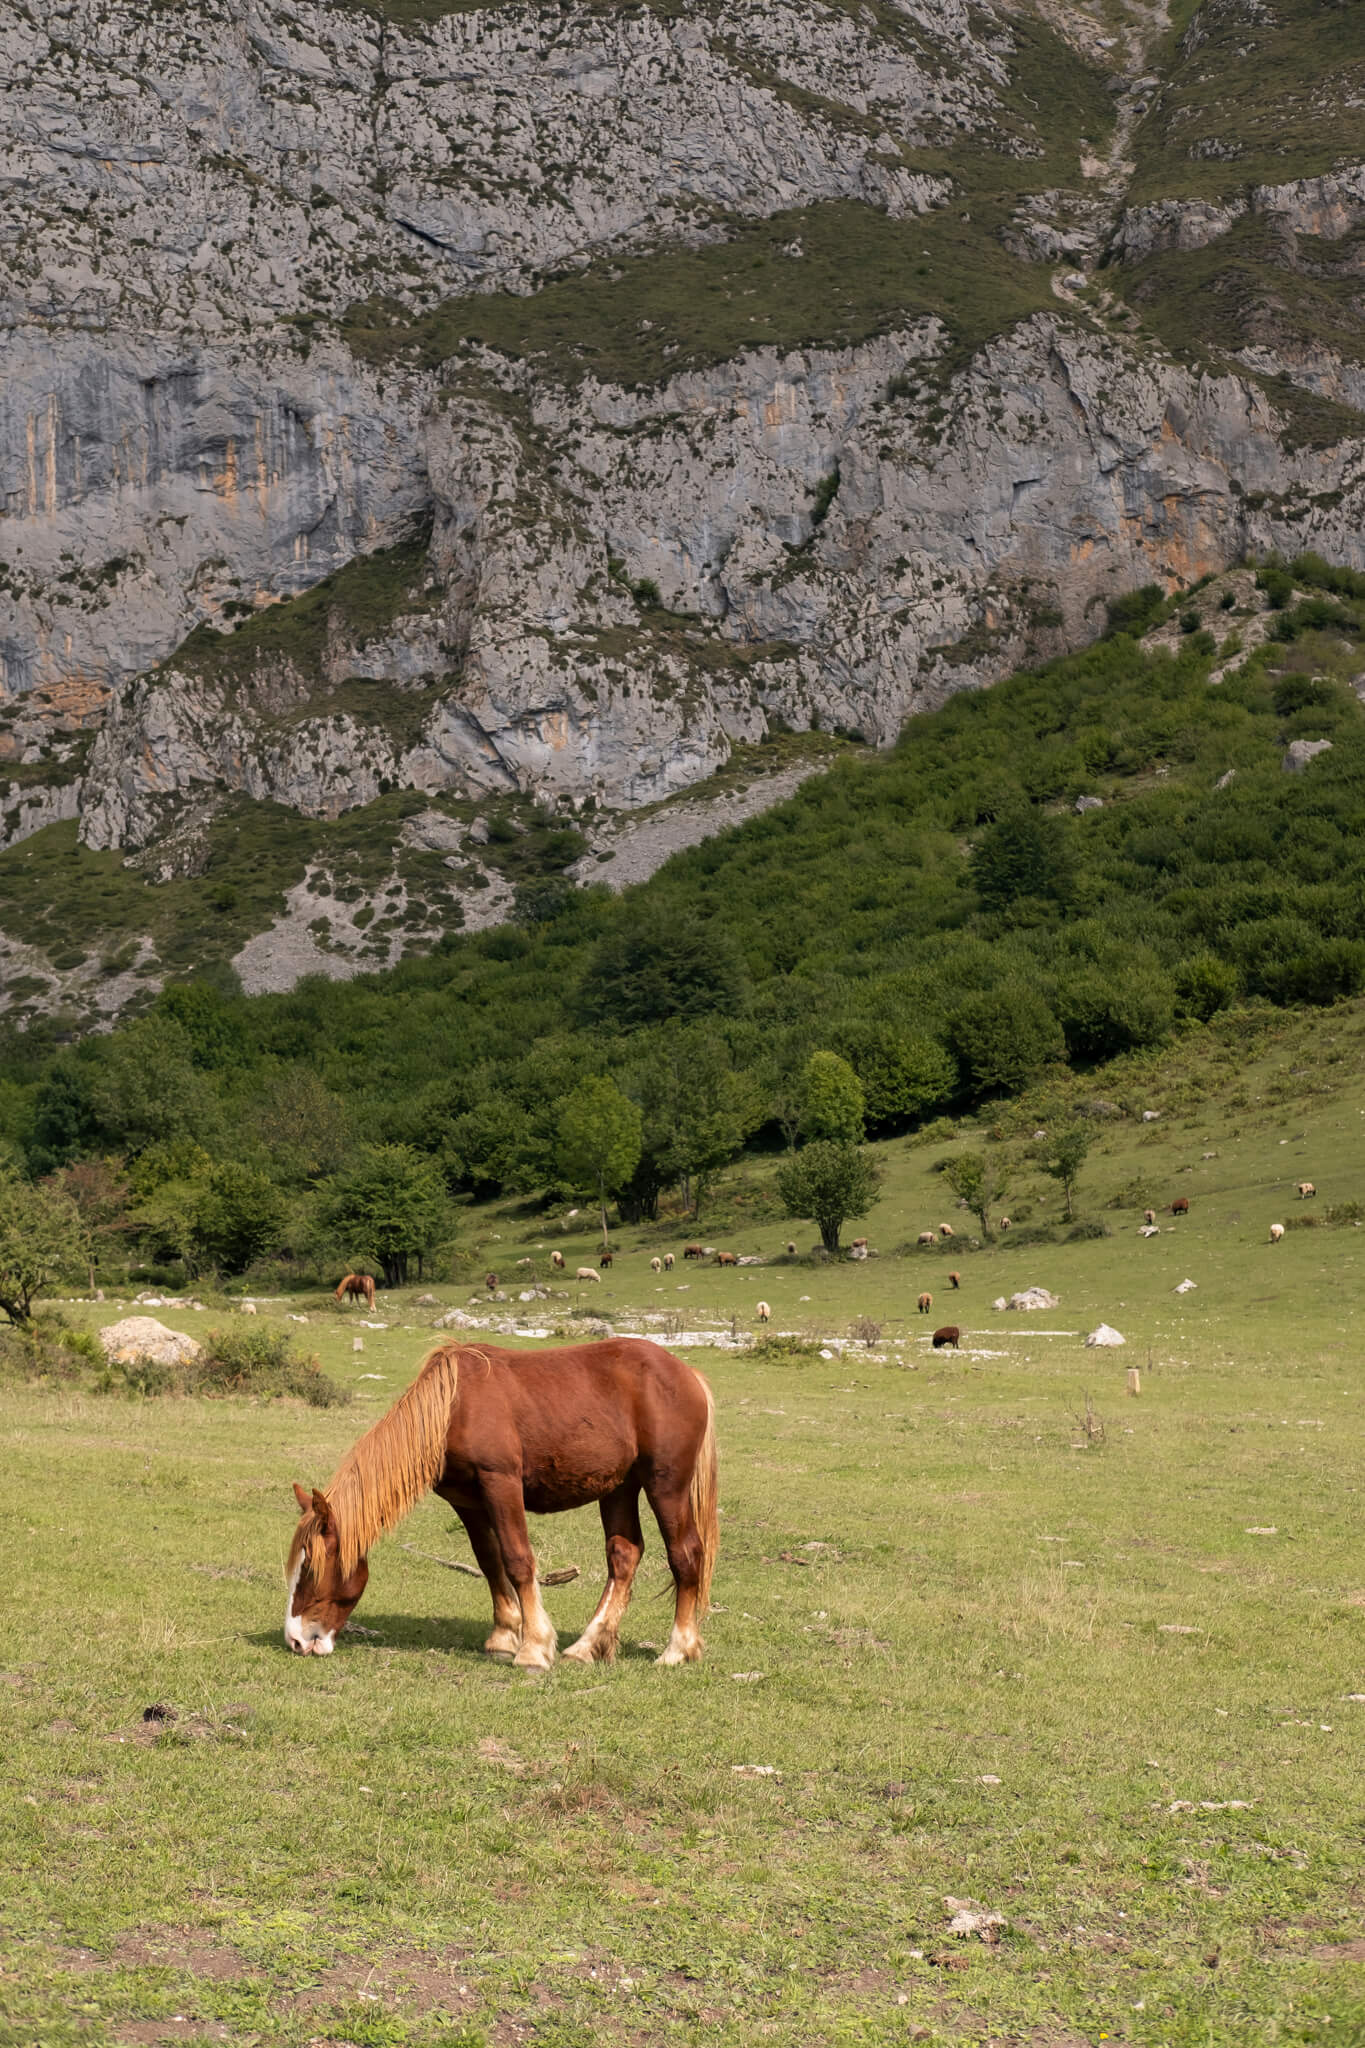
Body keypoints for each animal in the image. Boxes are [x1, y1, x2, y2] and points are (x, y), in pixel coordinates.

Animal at [284, 1339, 718, 1671]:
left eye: (310, 1569)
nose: (296, 1641)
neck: (452, 1408)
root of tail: (687, 1374)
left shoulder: (501, 1483)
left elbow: (517, 1559)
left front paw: (533, 1648)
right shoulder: (467, 1501)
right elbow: (489, 1561)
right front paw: (504, 1637)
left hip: (665, 1484)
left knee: (685, 1555)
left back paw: (677, 1650)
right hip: (620, 1487)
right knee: (624, 1555)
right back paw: (586, 1647)